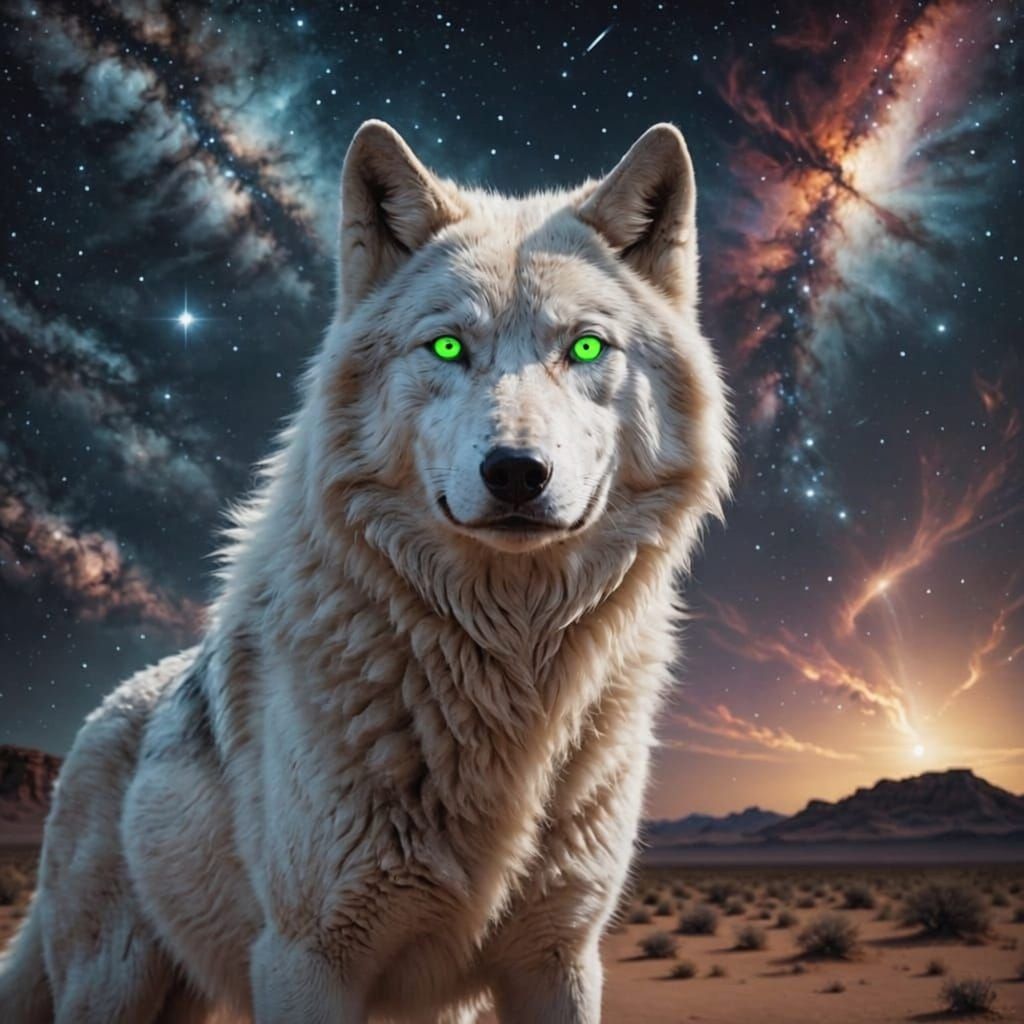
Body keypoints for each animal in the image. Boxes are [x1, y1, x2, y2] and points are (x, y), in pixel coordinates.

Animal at [0, 119, 734, 1023]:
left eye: (585, 346)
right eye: (448, 346)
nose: (516, 472)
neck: (507, 677)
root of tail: (109, 707)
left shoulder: (558, 957)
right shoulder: (308, 958)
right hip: (115, 986)